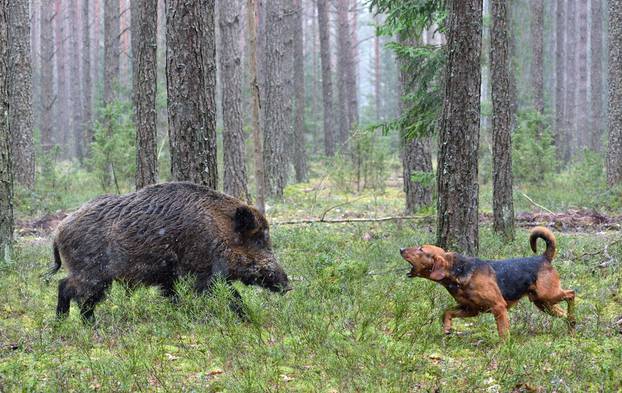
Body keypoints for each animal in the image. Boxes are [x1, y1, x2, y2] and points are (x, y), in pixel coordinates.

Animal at [402, 227, 576, 336]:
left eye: (421, 249)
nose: (401, 249)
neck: (458, 272)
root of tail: (543, 258)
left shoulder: (498, 307)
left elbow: (503, 334)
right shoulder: (471, 309)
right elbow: (447, 312)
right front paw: (447, 328)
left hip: (548, 296)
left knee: (571, 293)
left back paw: (573, 320)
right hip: (543, 303)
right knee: (563, 312)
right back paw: (571, 327)